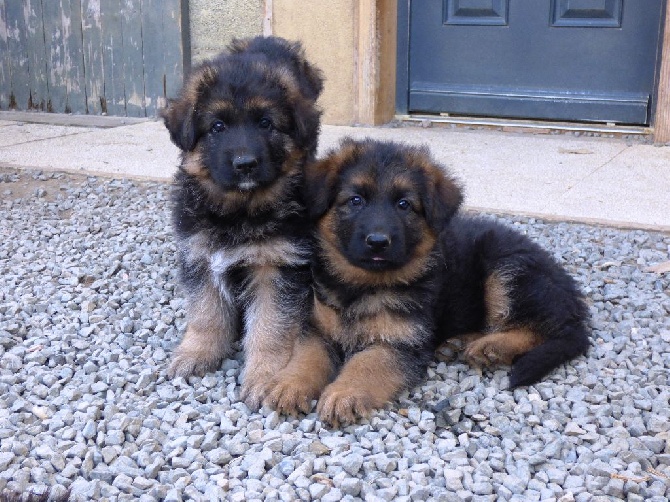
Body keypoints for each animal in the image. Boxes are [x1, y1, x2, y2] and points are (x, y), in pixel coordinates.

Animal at [164, 37, 326, 410]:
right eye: (217, 127)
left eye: (266, 123)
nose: (245, 164)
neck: (239, 212)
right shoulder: (199, 256)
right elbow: (205, 313)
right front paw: (196, 353)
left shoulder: (277, 266)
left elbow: (270, 327)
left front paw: (265, 376)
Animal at [274, 137, 592, 424]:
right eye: (355, 200)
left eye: (404, 204)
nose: (378, 242)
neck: (362, 287)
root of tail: (572, 296)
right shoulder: (317, 328)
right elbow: (307, 357)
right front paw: (289, 385)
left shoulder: (401, 343)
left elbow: (367, 363)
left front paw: (344, 393)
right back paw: (461, 342)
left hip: (506, 271)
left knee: (545, 328)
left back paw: (492, 347)